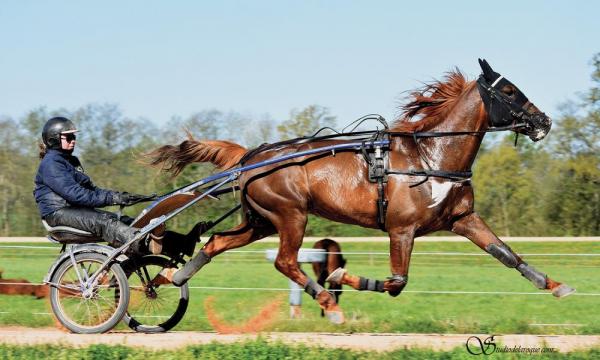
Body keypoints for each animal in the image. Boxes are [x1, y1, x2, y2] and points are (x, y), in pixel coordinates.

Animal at [148, 59, 576, 324]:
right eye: (511, 92)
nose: (544, 121)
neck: (429, 158)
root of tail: (251, 155)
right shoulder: (401, 229)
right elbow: (396, 283)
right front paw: (343, 277)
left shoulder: (462, 219)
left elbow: (507, 254)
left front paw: (556, 286)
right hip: (291, 215)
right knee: (285, 261)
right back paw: (326, 301)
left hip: (261, 221)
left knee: (216, 242)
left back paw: (170, 278)